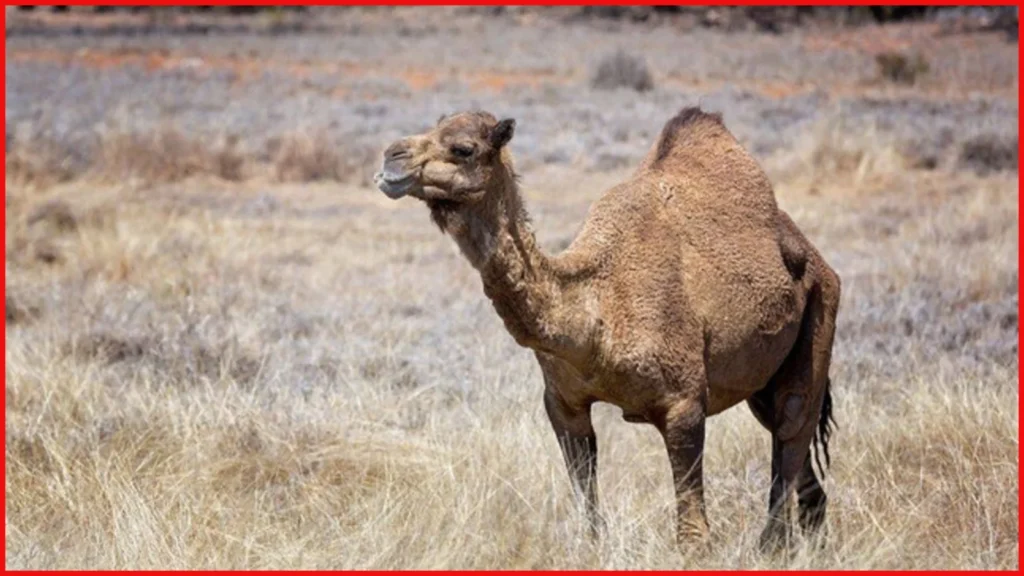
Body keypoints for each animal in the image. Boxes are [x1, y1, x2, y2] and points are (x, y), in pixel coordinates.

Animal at [373, 107, 840, 551]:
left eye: (463, 148)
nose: (390, 157)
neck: (596, 312)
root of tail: (816, 257)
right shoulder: (563, 405)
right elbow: (587, 506)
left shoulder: (684, 403)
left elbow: (693, 534)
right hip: (761, 383)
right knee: (798, 464)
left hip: (821, 313)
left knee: (793, 428)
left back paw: (772, 546)